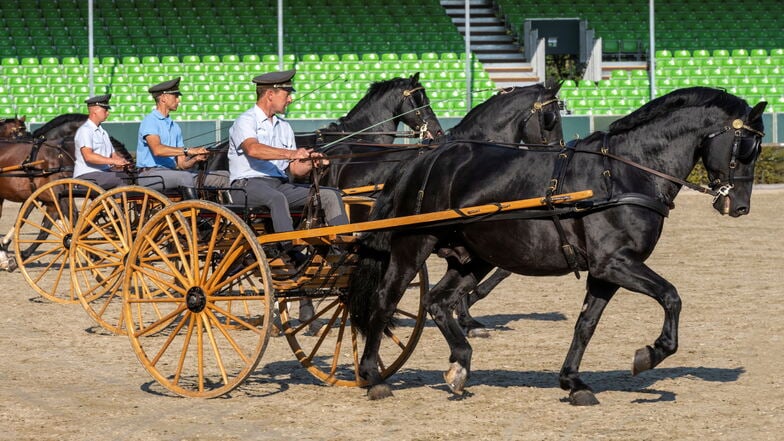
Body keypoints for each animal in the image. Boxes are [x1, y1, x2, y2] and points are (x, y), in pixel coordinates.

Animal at [350, 87, 764, 406]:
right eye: (746, 147)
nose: (740, 206)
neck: (628, 171)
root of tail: (424, 158)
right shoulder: (616, 263)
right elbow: (671, 296)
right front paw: (650, 353)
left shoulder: (604, 273)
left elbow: (586, 325)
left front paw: (573, 382)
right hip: (413, 244)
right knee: (386, 300)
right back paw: (374, 376)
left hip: (474, 257)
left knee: (438, 300)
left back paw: (461, 363)